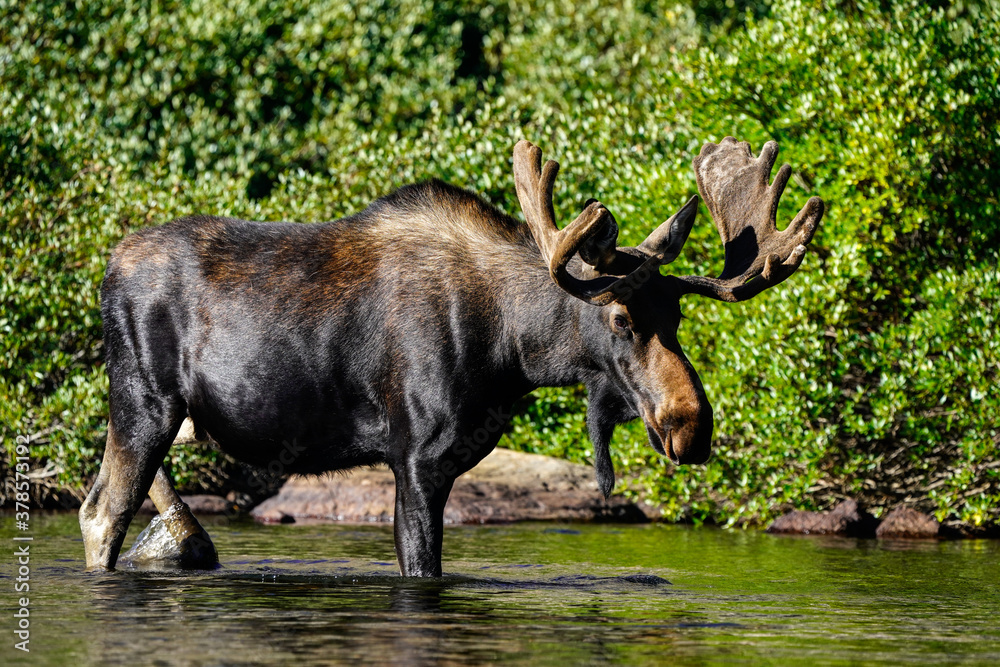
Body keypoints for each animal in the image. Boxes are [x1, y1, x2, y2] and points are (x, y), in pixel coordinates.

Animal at [79, 136, 823, 576]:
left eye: (679, 316)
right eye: (620, 317)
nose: (690, 425)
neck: (512, 354)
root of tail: (106, 268)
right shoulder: (415, 459)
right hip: (143, 401)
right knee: (102, 513)